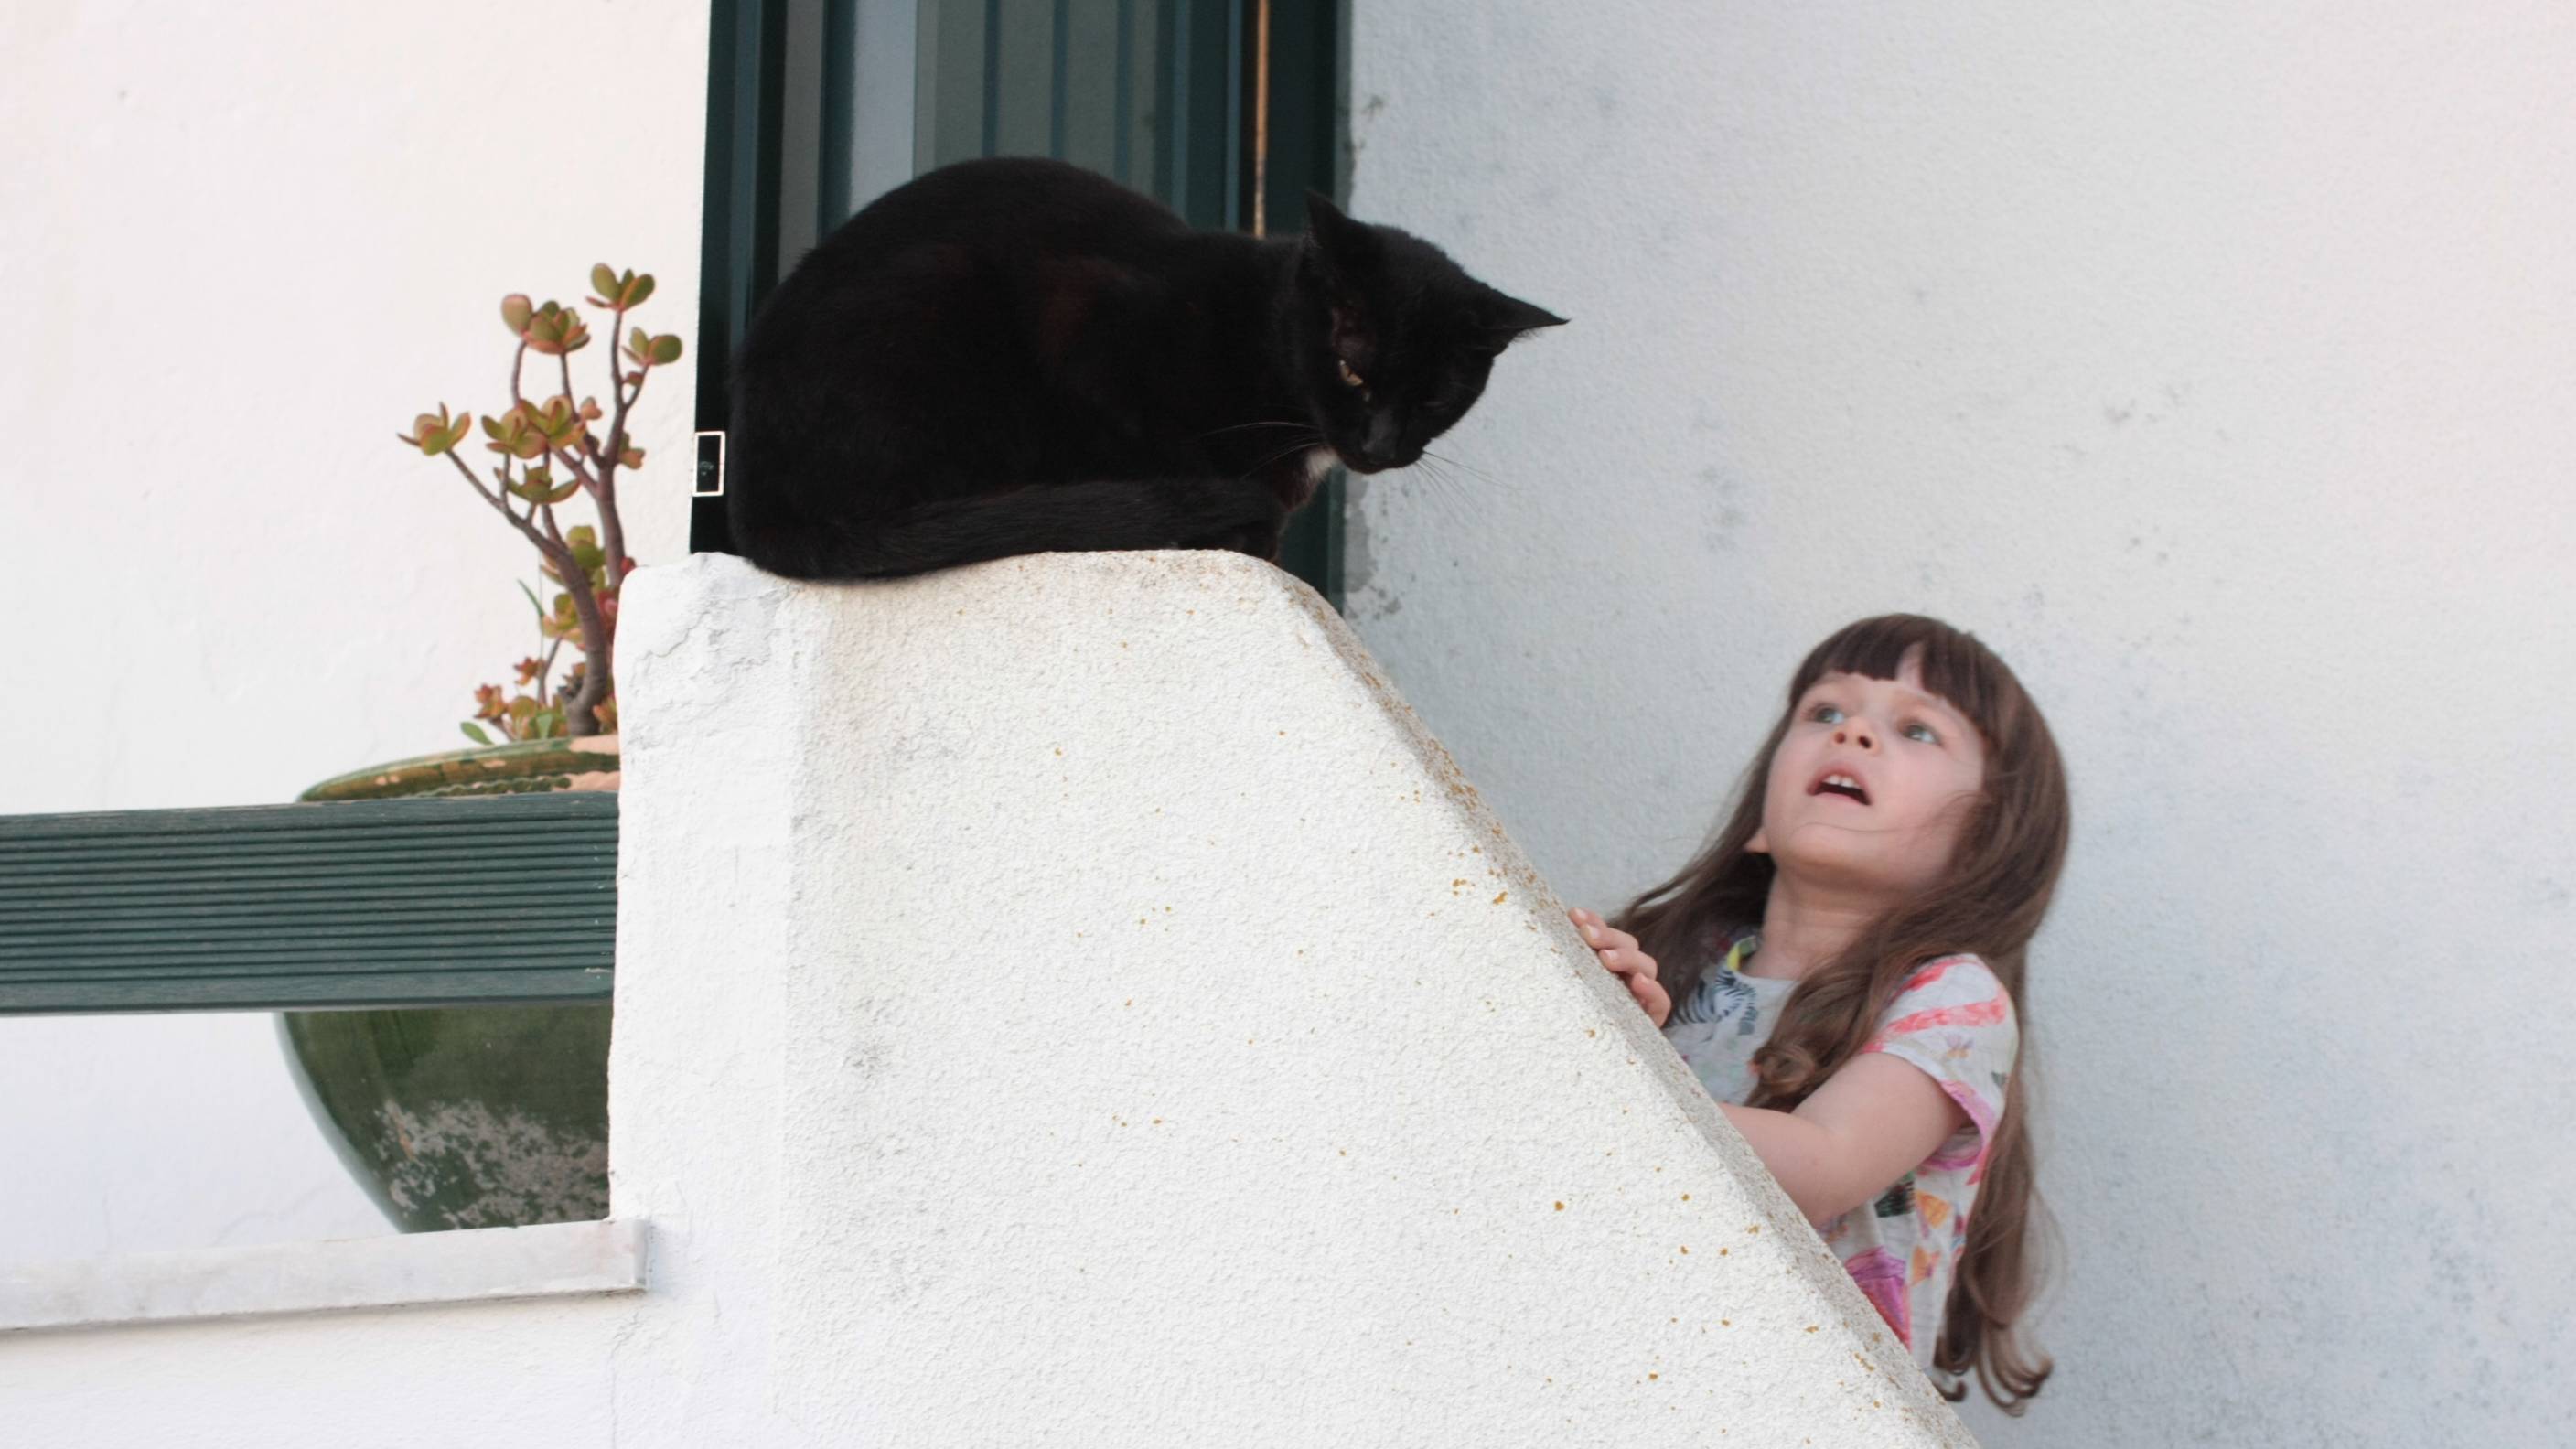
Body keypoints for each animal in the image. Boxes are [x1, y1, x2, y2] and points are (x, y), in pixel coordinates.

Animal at [731, 159, 1566, 580]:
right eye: (1353, 371)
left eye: (1434, 398)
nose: (1382, 445)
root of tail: (751, 499)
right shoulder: (1085, 325)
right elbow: (1160, 443)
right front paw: (1226, 524)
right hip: (936, 288)